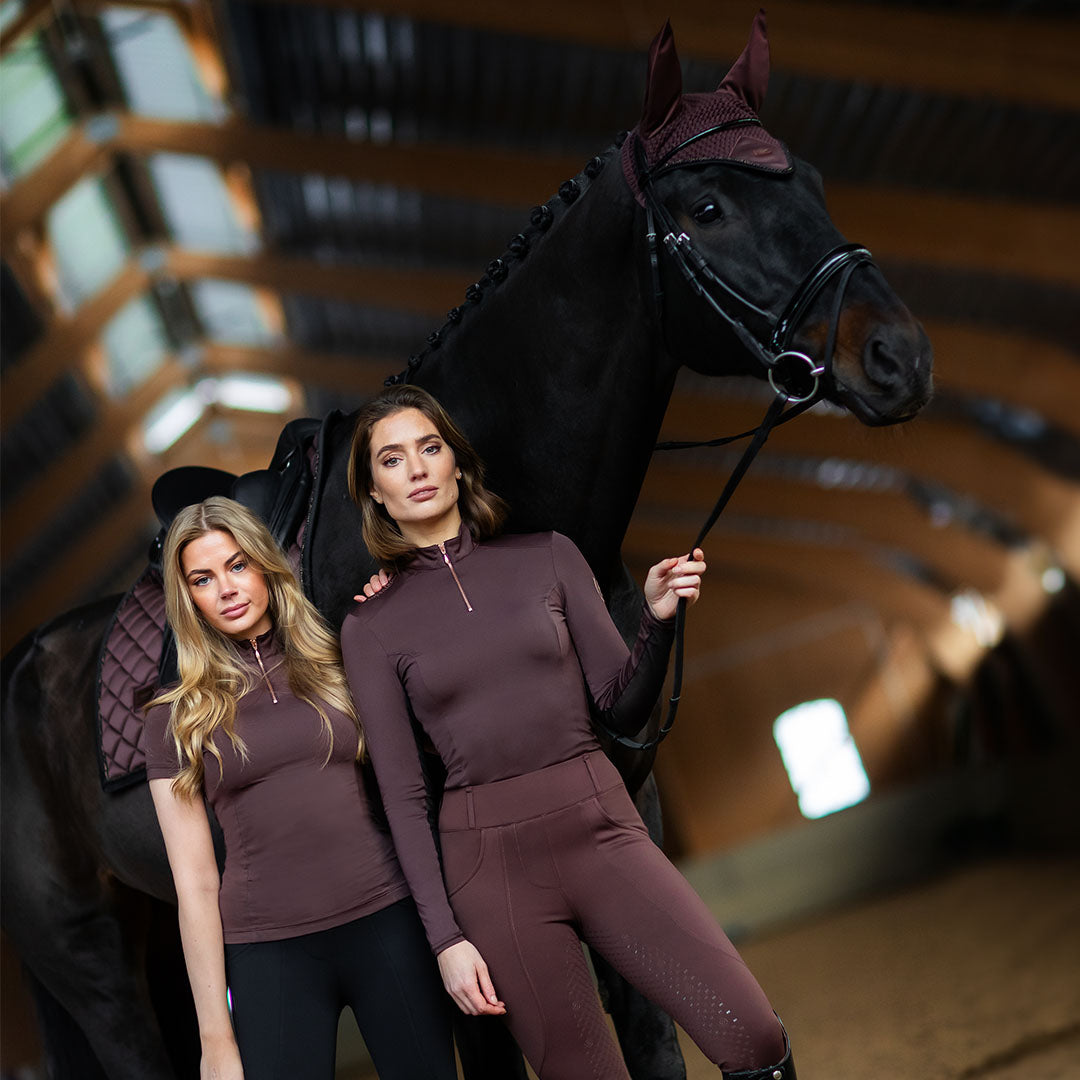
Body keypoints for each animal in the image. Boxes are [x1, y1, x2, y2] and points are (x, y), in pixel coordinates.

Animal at [1, 14, 931, 1080]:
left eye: (811, 179)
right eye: (710, 206)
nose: (901, 356)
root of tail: (24, 667)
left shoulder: (629, 816)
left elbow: (655, 1033)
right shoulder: (436, 906)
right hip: (94, 960)